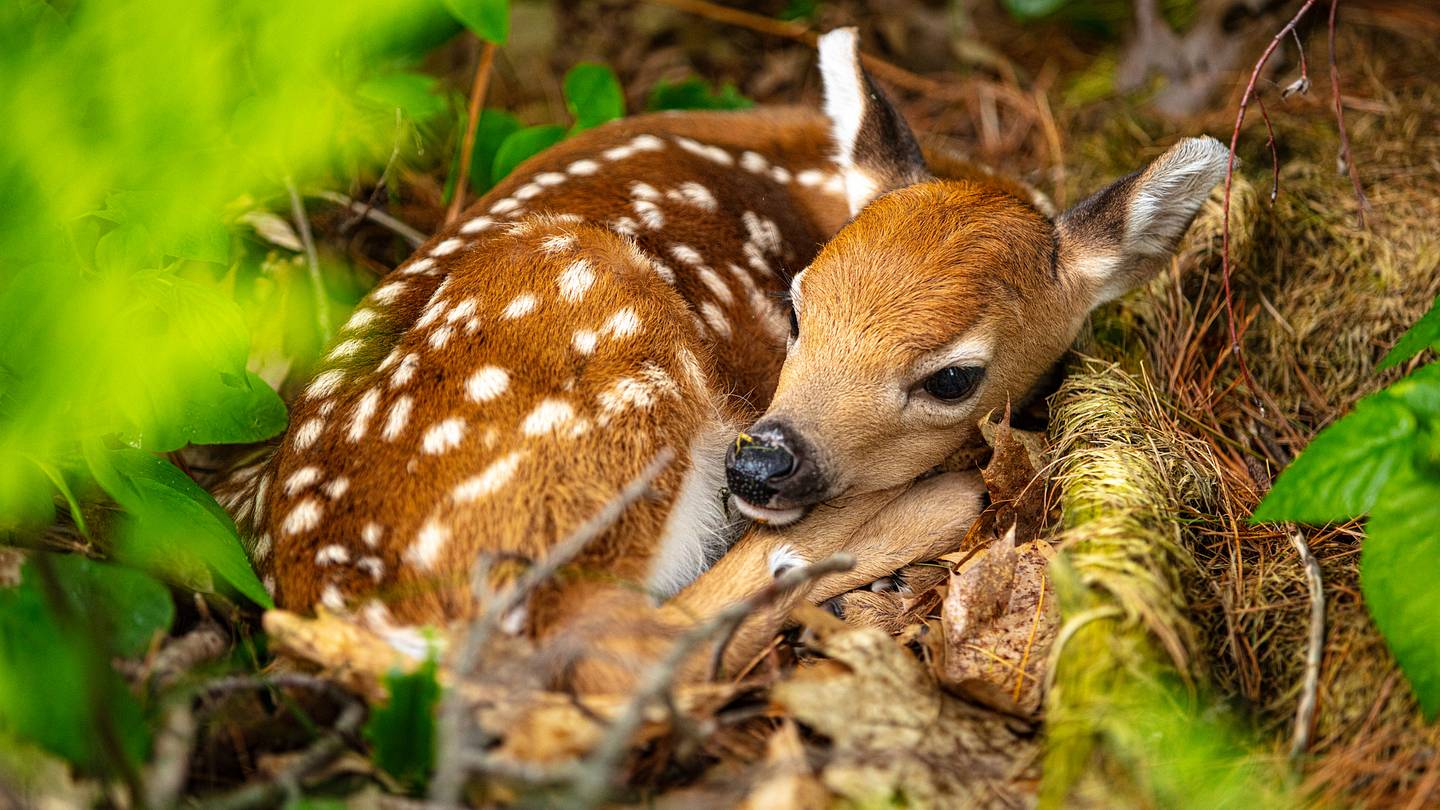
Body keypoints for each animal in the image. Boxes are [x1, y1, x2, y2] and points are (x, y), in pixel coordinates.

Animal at [217, 29, 1229, 692]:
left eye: (953, 377)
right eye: (798, 303)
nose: (762, 463)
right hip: (607, 357)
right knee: (625, 652)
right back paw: (933, 505)